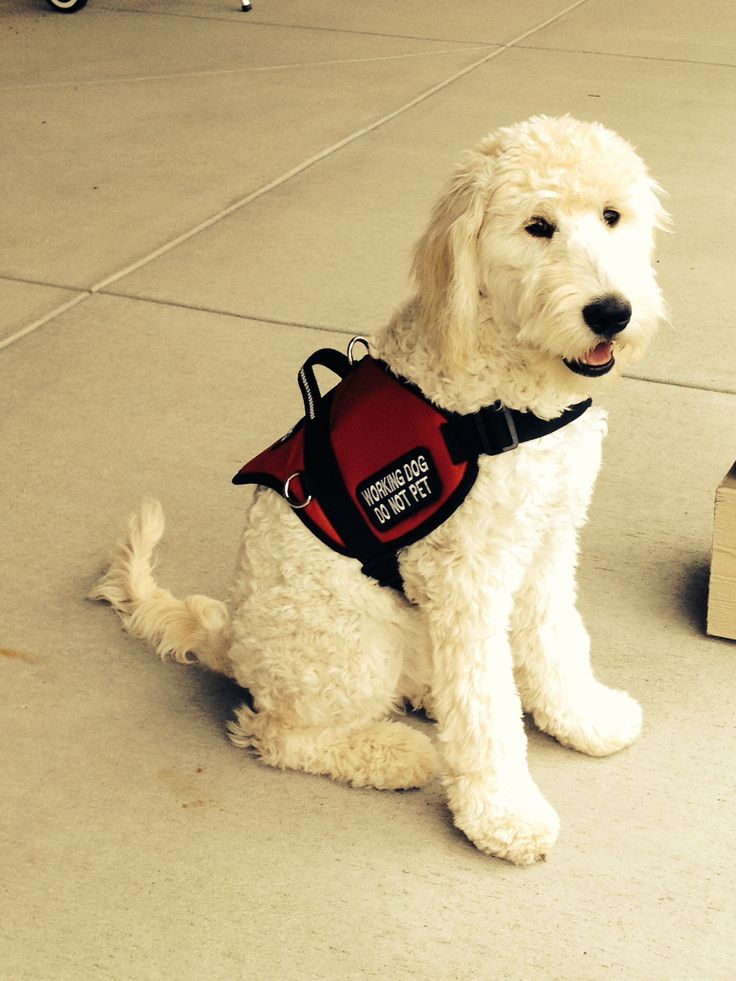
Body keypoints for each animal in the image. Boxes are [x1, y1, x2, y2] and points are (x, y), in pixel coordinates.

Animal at [92, 117, 668, 864]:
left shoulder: (547, 542)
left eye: (611, 216)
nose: (611, 312)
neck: (508, 394)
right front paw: (503, 813)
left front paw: (581, 717)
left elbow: (556, 638)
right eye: (538, 226)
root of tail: (234, 639)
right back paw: (396, 752)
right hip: (355, 641)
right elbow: (485, 707)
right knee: (273, 732)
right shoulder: (467, 577)